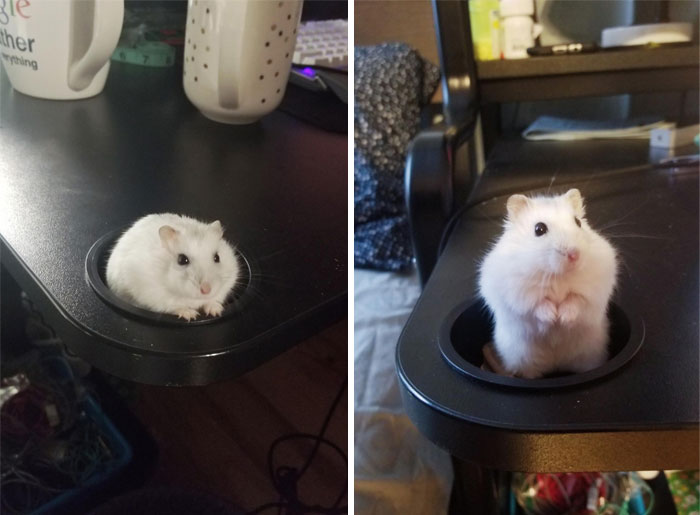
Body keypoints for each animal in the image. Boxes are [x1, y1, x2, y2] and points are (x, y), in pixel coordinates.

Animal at [106, 214, 240, 321]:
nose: (206, 290)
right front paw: (191, 315)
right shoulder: (154, 296)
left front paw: (216, 311)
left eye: (217, 257)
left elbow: (213, 300)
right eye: (182, 260)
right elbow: (175, 306)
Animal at [478, 189, 617, 379]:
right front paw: (553, 317)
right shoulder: (517, 291)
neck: (557, 275)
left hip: (589, 357)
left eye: (578, 222)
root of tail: (555, 365)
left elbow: (576, 299)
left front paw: (563, 318)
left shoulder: (597, 286)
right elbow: (536, 303)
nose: (575, 255)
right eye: (539, 229)